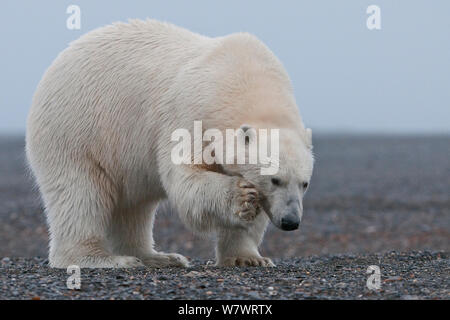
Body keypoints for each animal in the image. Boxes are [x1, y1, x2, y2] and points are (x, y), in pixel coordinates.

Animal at [25, 19, 312, 268]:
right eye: (275, 179)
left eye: (304, 183)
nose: (291, 221)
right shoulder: (190, 115)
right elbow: (187, 178)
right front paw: (243, 196)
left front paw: (249, 258)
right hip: (76, 132)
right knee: (80, 194)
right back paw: (105, 258)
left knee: (134, 207)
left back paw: (158, 257)